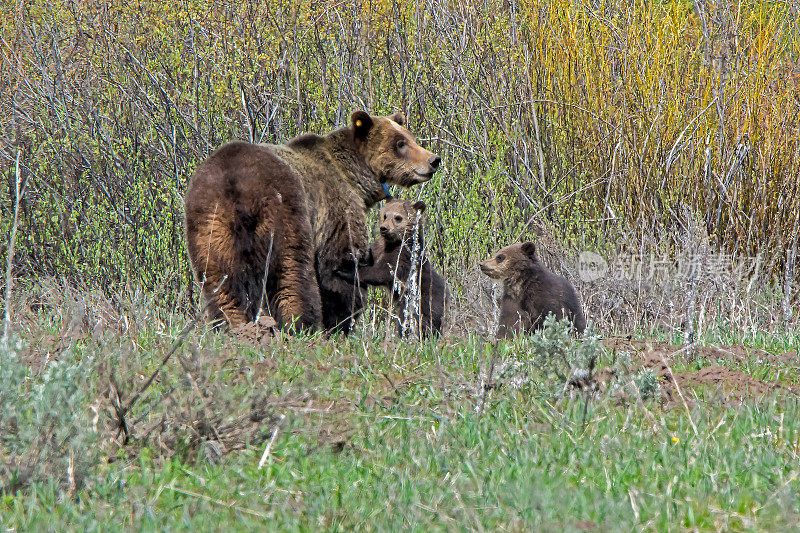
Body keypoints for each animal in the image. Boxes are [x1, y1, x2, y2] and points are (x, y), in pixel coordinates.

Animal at [334, 200, 446, 336]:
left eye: (398, 217)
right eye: (385, 215)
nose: (384, 228)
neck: (392, 243)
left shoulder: (401, 257)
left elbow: (379, 273)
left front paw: (344, 270)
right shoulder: (378, 250)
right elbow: (369, 260)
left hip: (421, 300)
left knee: (421, 321)